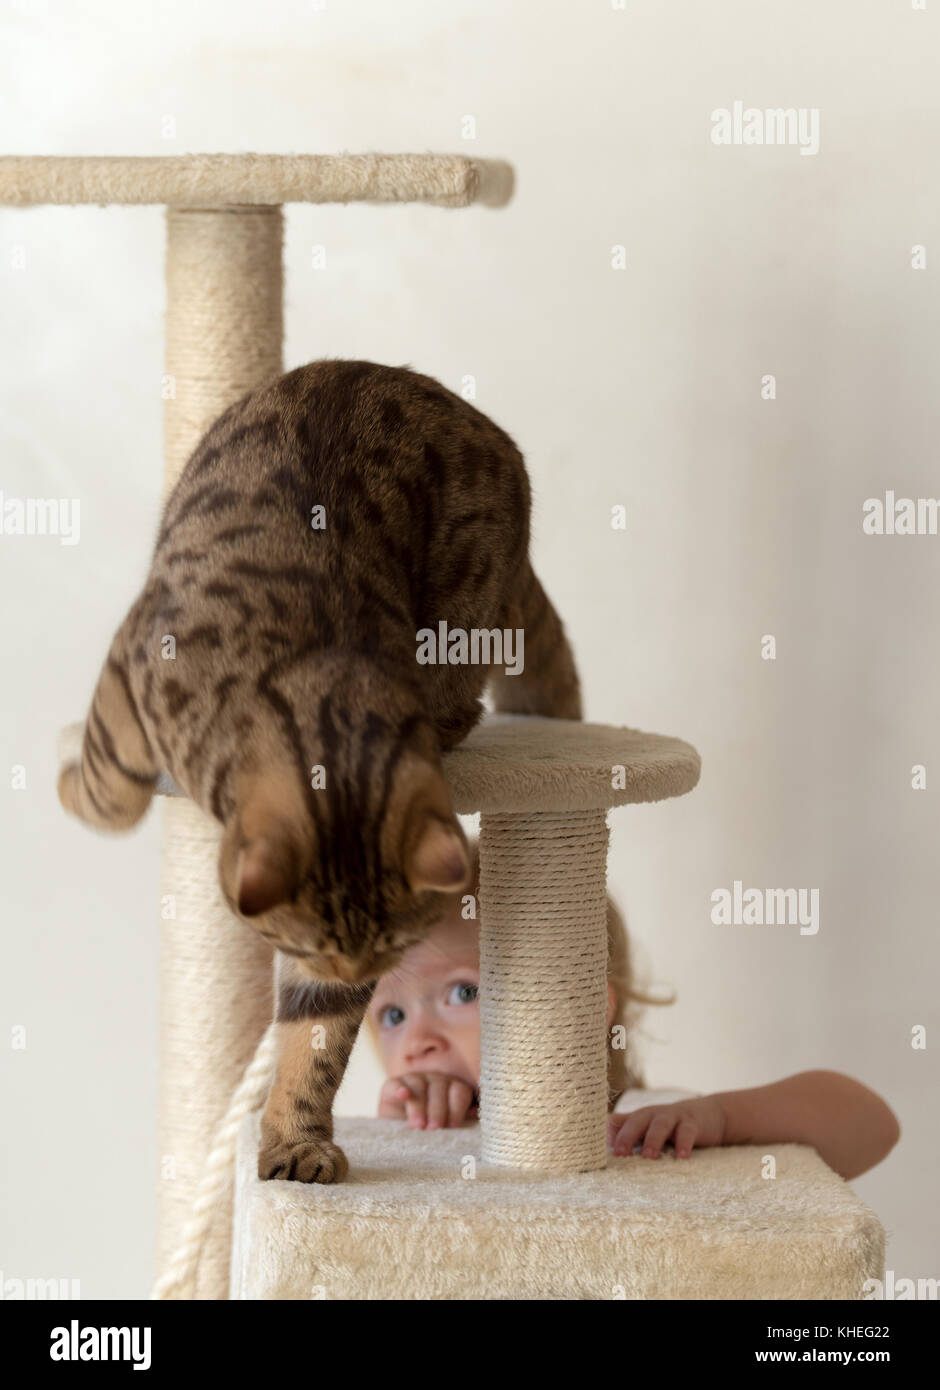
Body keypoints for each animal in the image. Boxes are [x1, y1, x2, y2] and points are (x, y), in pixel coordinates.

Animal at [60, 358, 581, 1184]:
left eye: (386, 956)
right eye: (307, 948)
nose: (344, 973)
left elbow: (316, 1045)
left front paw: (296, 1142)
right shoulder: (130, 669)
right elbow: (108, 788)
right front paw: (68, 778)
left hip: (466, 612)